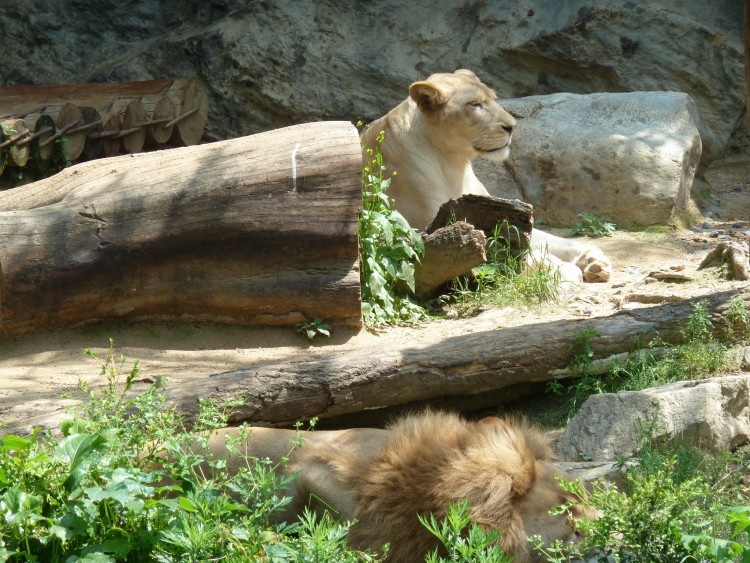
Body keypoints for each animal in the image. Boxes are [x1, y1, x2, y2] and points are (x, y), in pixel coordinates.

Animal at [362, 68, 612, 284]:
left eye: (494, 99)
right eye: (475, 105)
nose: (512, 126)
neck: (454, 164)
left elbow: (553, 241)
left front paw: (593, 260)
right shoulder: (425, 231)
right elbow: (523, 255)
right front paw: (563, 271)